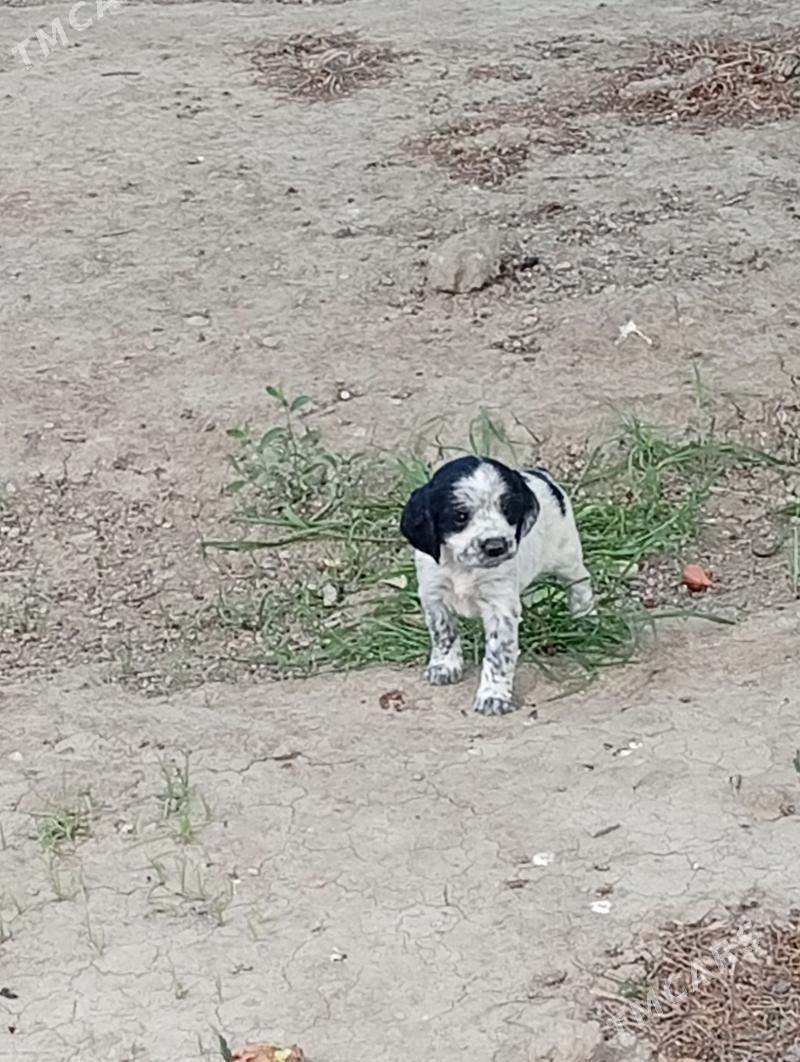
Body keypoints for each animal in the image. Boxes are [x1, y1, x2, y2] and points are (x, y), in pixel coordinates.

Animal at [400, 455, 594, 715]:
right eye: (460, 516)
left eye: (508, 509)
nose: (495, 546)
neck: (464, 568)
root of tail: (541, 474)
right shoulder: (434, 596)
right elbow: (443, 634)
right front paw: (445, 666)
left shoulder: (499, 607)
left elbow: (498, 655)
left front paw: (493, 696)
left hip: (566, 557)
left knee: (581, 582)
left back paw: (586, 617)